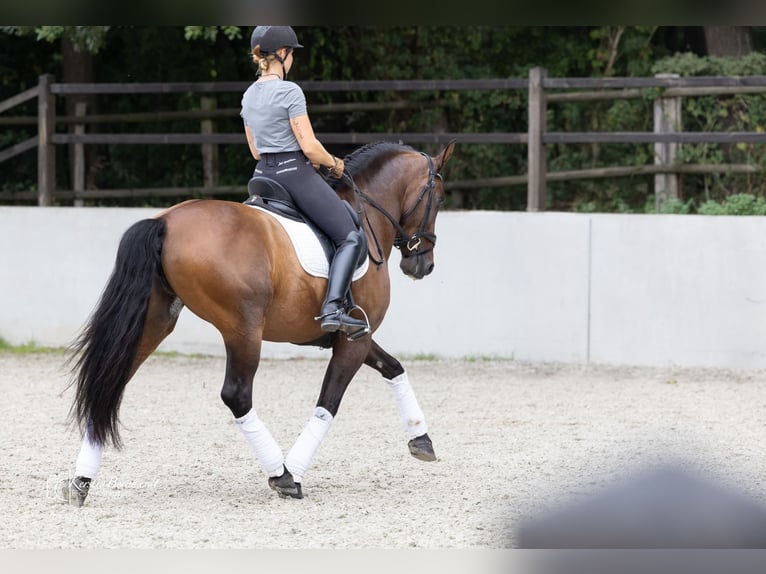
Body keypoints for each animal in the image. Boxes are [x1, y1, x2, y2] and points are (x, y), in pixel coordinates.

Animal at [62, 139, 456, 506]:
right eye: (438, 198)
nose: (422, 264)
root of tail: (165, 221)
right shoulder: (353, 341)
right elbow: (328, 403)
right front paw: (293, 471)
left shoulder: (353, 333)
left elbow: (393, 367)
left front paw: (421, 438)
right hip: (243, 330)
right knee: (236, 395)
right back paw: (281, 474)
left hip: (155, 321)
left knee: (111, 380)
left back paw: (81, 481)